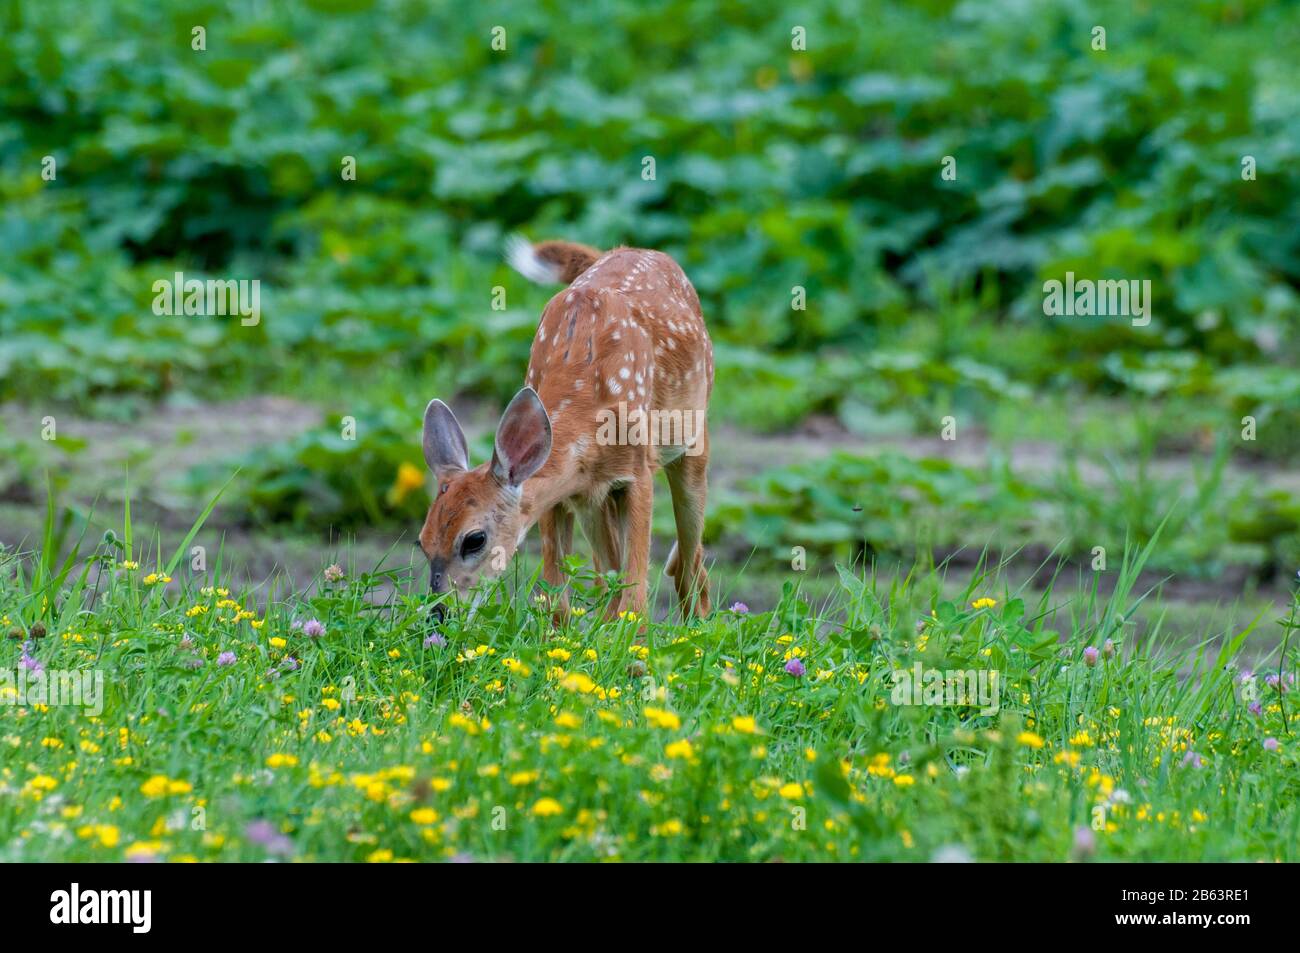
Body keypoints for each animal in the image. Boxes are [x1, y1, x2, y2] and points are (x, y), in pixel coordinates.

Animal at [418, 237, 712, 621]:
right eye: (422, 542)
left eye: (474, 539)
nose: (439, 614)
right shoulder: (566, 491)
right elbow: (556, 594)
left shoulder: (638, 470)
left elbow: (634, 594)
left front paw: (638, 635)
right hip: (595, 500)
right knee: (611, 570)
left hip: (694, 440)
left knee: (690, 559)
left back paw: (698, 617)